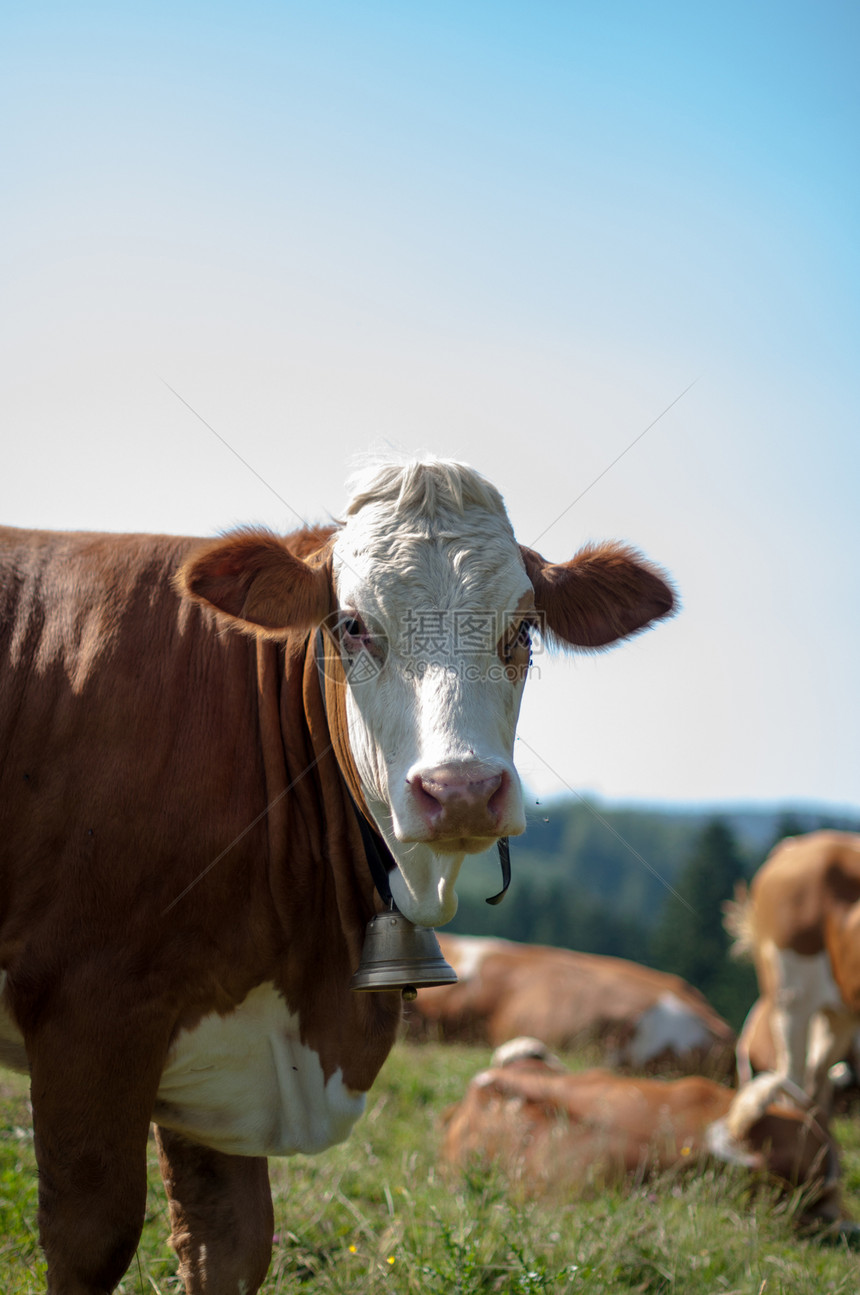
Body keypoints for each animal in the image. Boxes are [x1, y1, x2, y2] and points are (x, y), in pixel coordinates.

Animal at [0, 458, 673, 1295]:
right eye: (352, 624)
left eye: (522, 629)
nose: (461, 789)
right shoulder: (88, 1010)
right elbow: (91, 1236)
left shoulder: (222, 1058)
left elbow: (229, 1244)